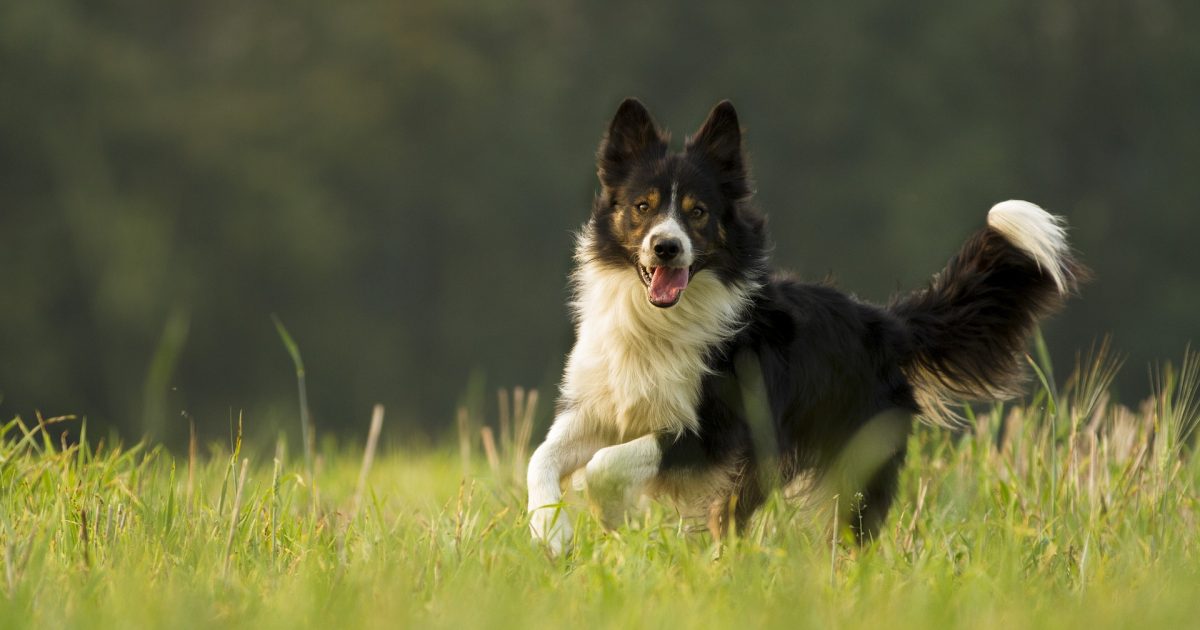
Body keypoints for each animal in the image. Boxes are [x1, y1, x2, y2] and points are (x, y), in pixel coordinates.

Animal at [525, 96, 1080, 552]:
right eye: (643, 206)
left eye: (698, 212)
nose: (666, 247)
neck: (659, 321)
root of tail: (884, 322)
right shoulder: (601, 407)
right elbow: (541, 457)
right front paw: (551, 534)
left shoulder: (714, 432)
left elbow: (607, 463)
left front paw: (608, 514)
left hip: (843, 460)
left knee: (845, 532)